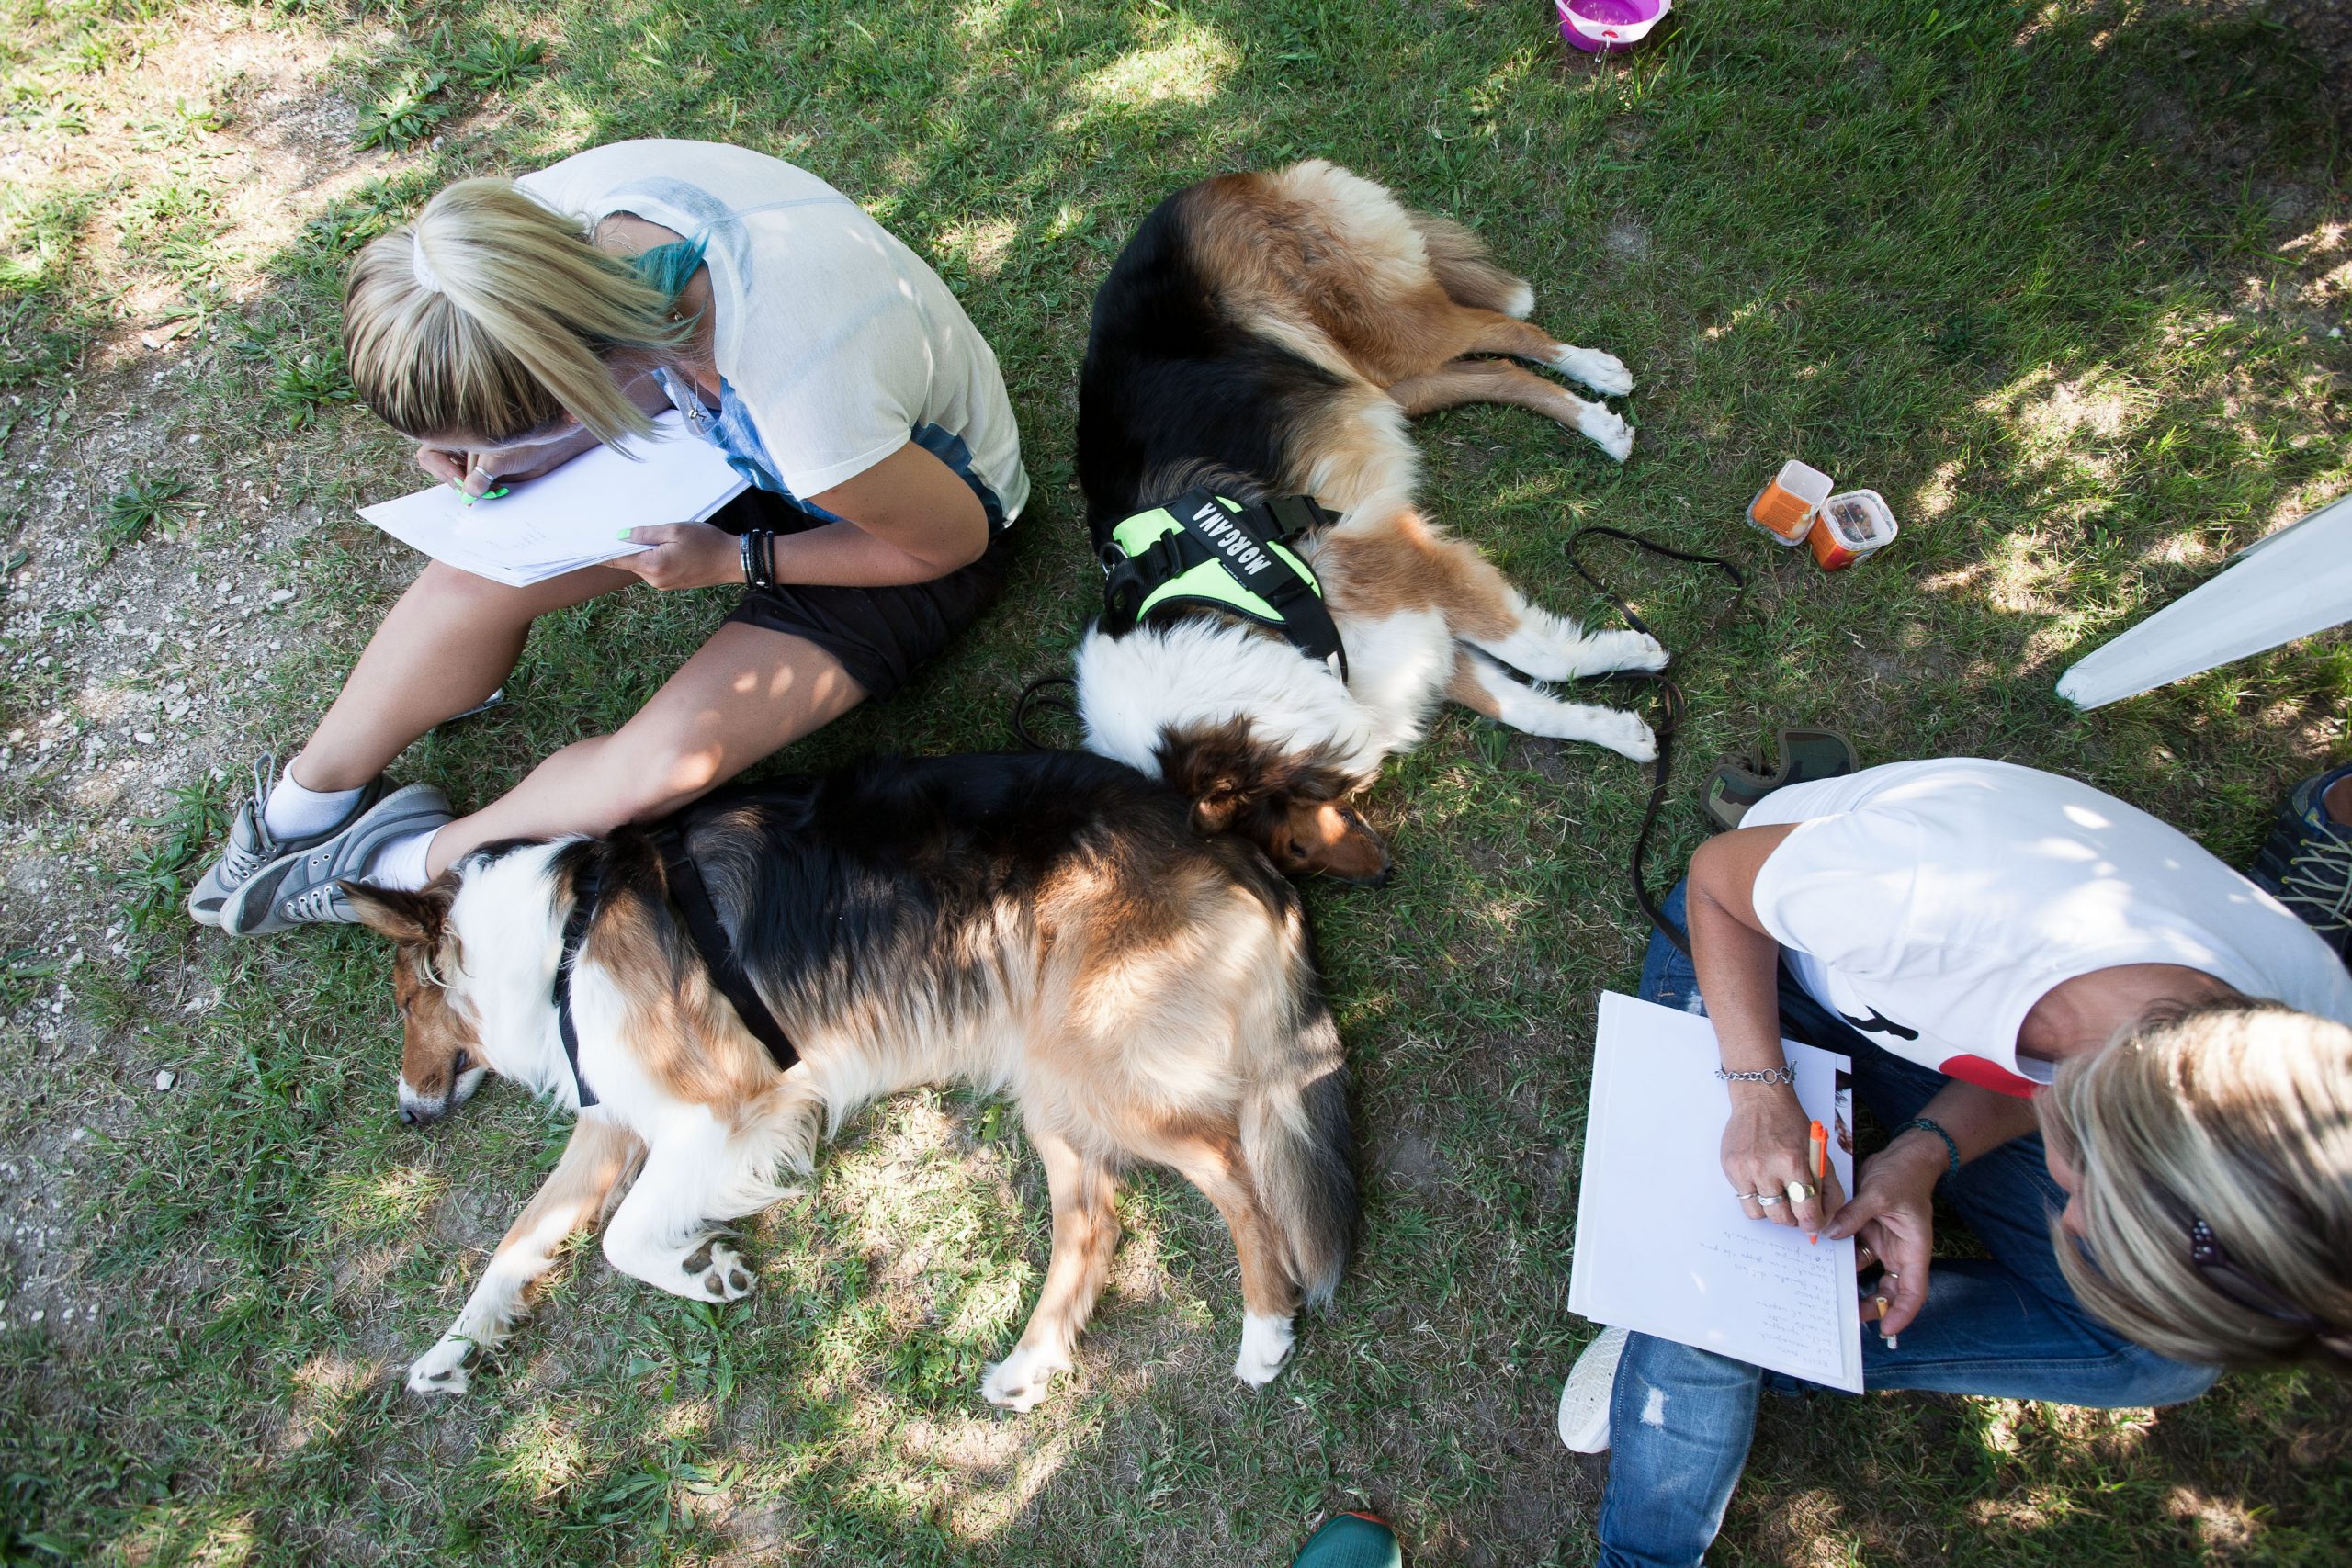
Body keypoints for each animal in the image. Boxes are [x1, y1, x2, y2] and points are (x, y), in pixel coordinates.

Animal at [345, 751, 1345, 1410]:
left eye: (402, 1002)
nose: (406, 1117)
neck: (561, 938)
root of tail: (1220, 839)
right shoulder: (614, 1122)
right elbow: (517, 1240)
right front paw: (450, 1350)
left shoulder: (721, 1109)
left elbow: (620, 1240)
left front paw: (705, 1269)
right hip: (1052, 1078)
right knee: (1095, 1222)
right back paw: (1028, 1365)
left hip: (1098, 1058)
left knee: (1235, 1171)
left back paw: (1265, 1329)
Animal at [1077, 160, 1665, 884]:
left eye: (1296, 844)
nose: (1383, 874)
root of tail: (1229, 180)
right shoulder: (1395, 650)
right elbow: (1526, 707)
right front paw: (1621, 729)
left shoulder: (1400, 563)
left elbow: (1541, 654)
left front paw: (1636, 649)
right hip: (1380, 380)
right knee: (1489, 369)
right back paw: (1595, 417)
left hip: (1383, 327)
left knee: (1496, 330)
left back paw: (1598, 383)